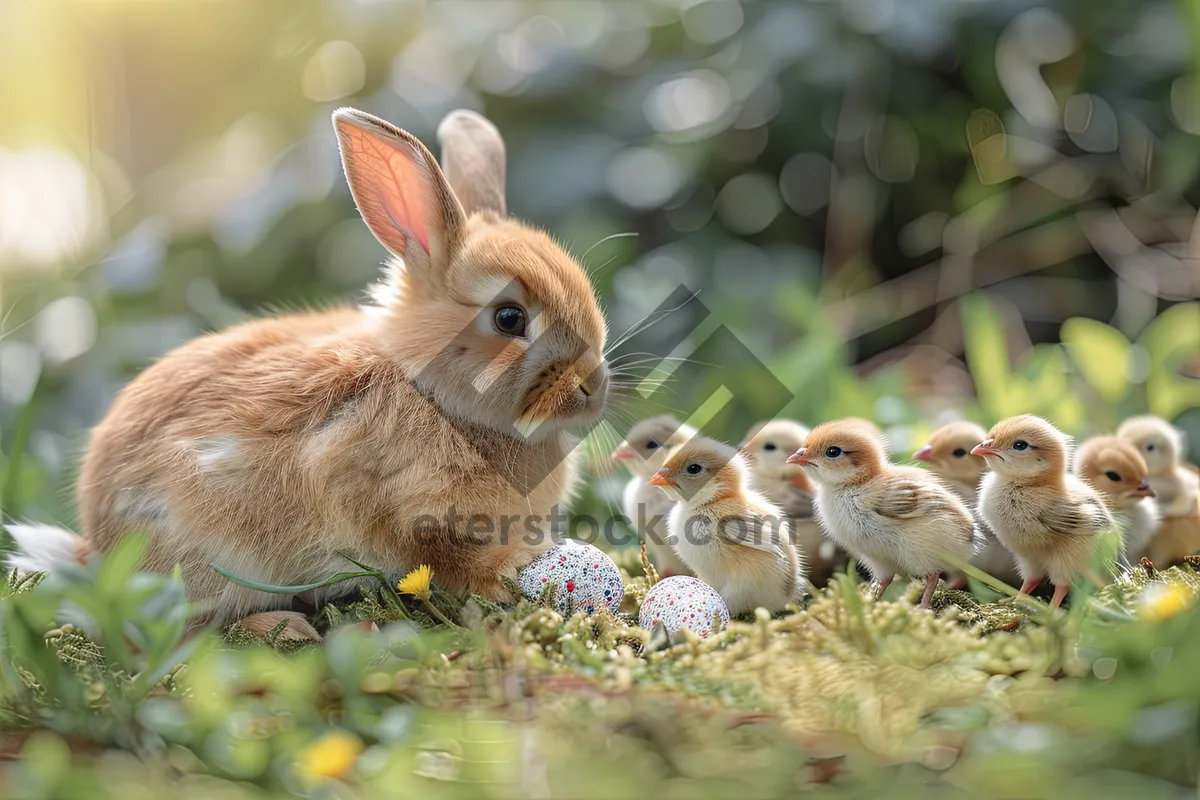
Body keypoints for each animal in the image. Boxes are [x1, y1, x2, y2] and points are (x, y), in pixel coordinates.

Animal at [7, 107, 609, 633]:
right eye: (509, 318)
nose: (593, 389)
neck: (431, 393)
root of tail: (98, 554)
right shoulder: (398, 506)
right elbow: (446, 561)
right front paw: (505, 584)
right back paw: (285, 628)